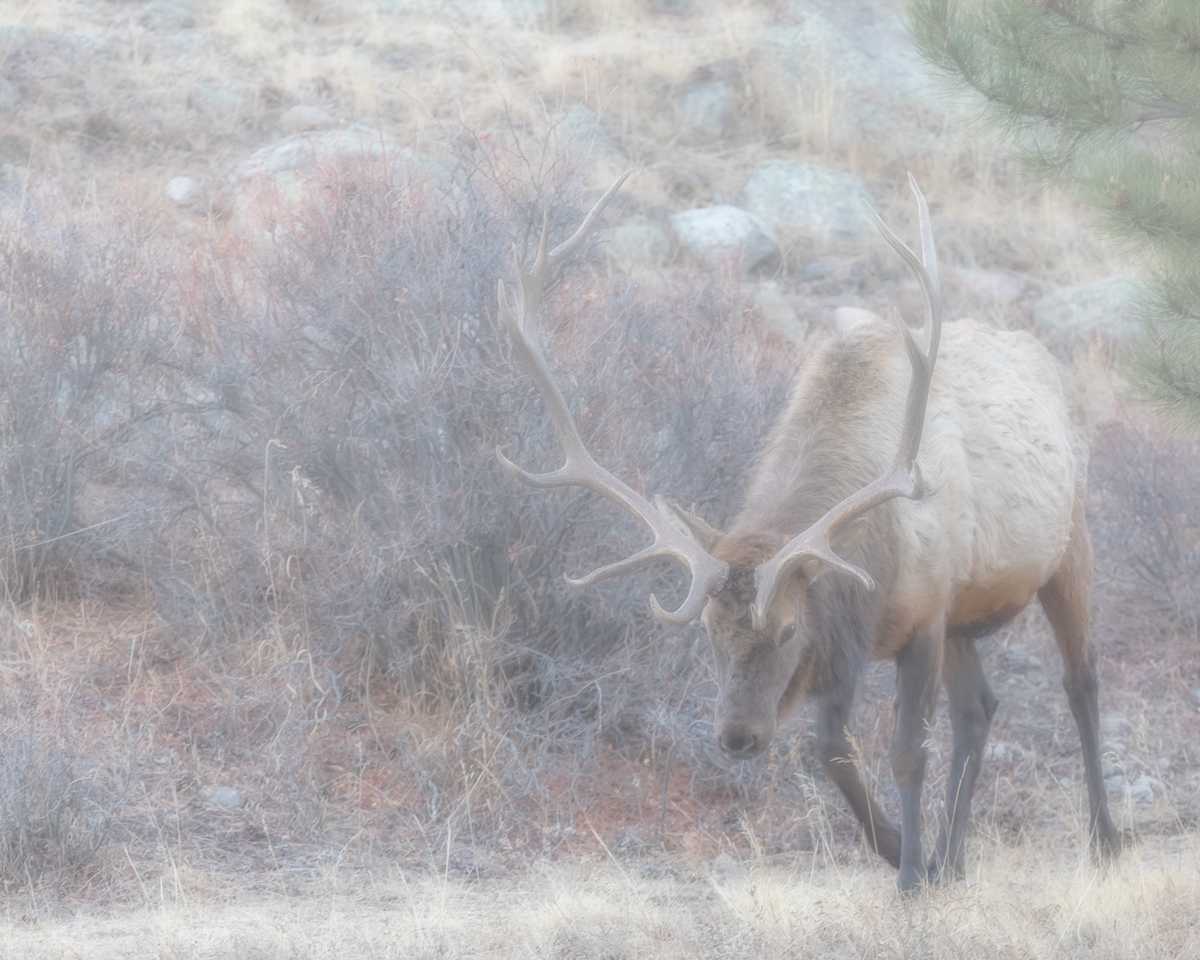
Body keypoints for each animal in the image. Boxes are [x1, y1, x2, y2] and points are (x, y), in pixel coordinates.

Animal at [494, 174, 1113, 892]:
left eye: (787, 629)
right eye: (707, 633)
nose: (737, 736)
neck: (874, 563)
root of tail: (1052, 364)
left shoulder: (923, 616)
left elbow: (906, 753)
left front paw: (908, 878)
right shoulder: (860, 635)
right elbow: (832, 752)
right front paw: (904, 851)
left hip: (1071, 547)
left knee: (1080, 682)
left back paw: (1103, 837)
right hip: (970, 613)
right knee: (979, 710)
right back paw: (953, 859)